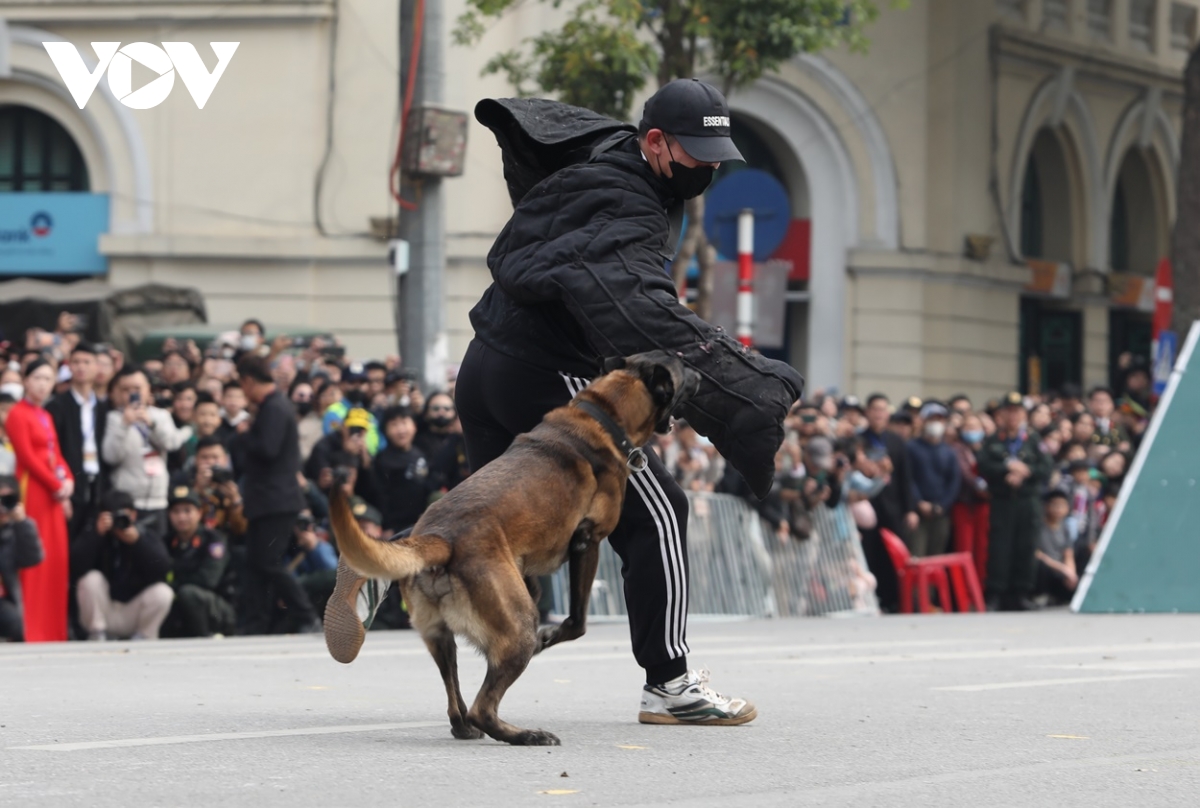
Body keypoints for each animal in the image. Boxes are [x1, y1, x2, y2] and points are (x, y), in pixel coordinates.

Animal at [331, 350, 700, 744]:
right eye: (682, 364)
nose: (701, 374)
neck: (605, 413)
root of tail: (440, 539)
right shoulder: (588, 542)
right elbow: (578, 621)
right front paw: (549, 636)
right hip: (519, 626)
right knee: (483, 708)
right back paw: (526, 734)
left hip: (440, 637)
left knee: (456, 700)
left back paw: (465, 726)